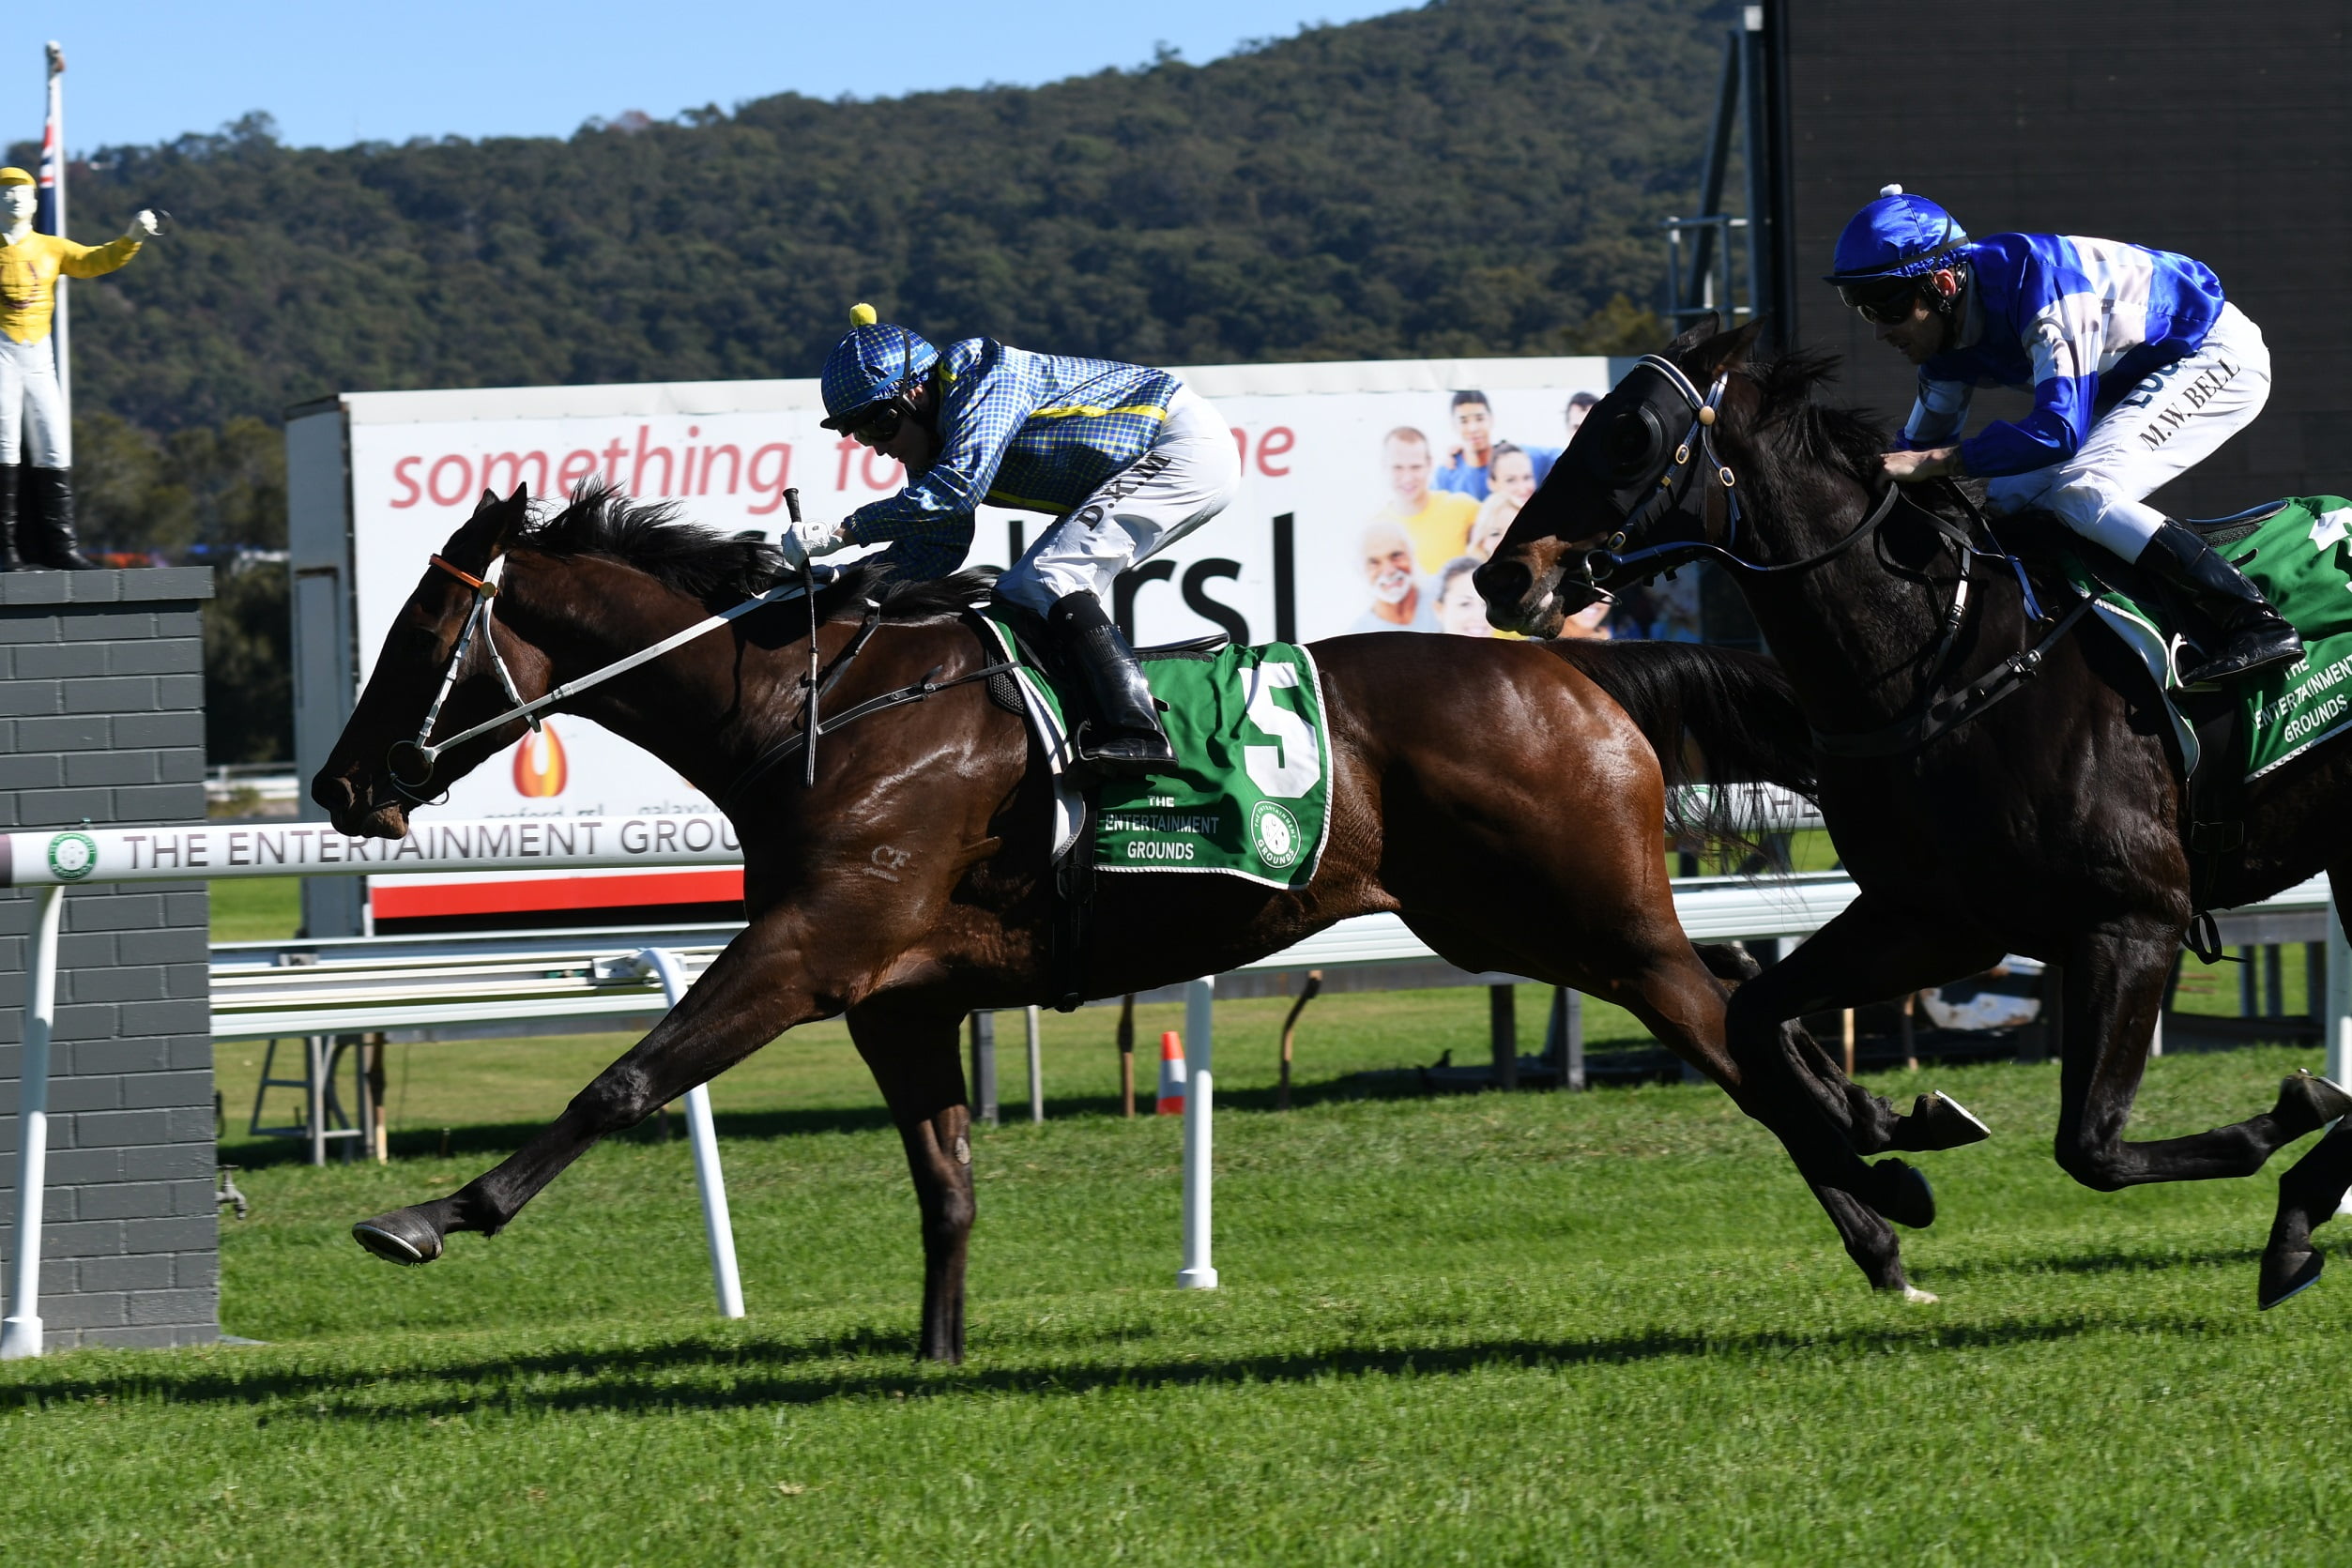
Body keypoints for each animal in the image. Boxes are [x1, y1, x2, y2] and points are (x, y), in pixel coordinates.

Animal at [313, 484, 1966, 1354]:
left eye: (421, 626)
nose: (340, 779)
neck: (815, 708)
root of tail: (1576, 668)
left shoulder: (811, 948)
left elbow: (626, 1076)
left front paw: (428, 1213)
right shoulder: (896, 992)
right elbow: (945, 1179)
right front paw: (935, 1353)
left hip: (1582, 918)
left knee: (1730, 1036)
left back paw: (1882, 1219)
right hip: (1540, 919)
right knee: (1744, 990)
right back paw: (1892, 1137)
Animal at [1476, 319, 2352, 1316]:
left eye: (1629, 435)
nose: (1503, 575)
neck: (1942, 660)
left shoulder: (2135, 919)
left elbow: (2091, 1145)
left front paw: (2291, 1111)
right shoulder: (1936, 919)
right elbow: (1756, 1016)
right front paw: (1892, 1141)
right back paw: (2300, 1214)